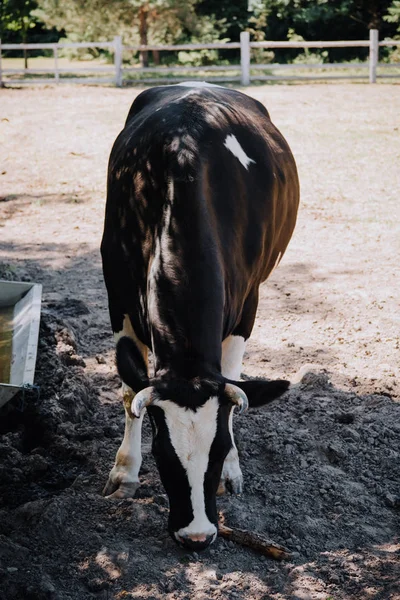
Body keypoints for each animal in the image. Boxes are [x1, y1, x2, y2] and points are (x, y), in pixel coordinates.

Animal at [101, 82, 300, 552]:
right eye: (161, 453)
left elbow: (233, 379)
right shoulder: (117, 290)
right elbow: (129, 389)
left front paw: (232, 471)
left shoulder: (249, 300)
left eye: (220, 446)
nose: (197, 535)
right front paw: (125, 472)